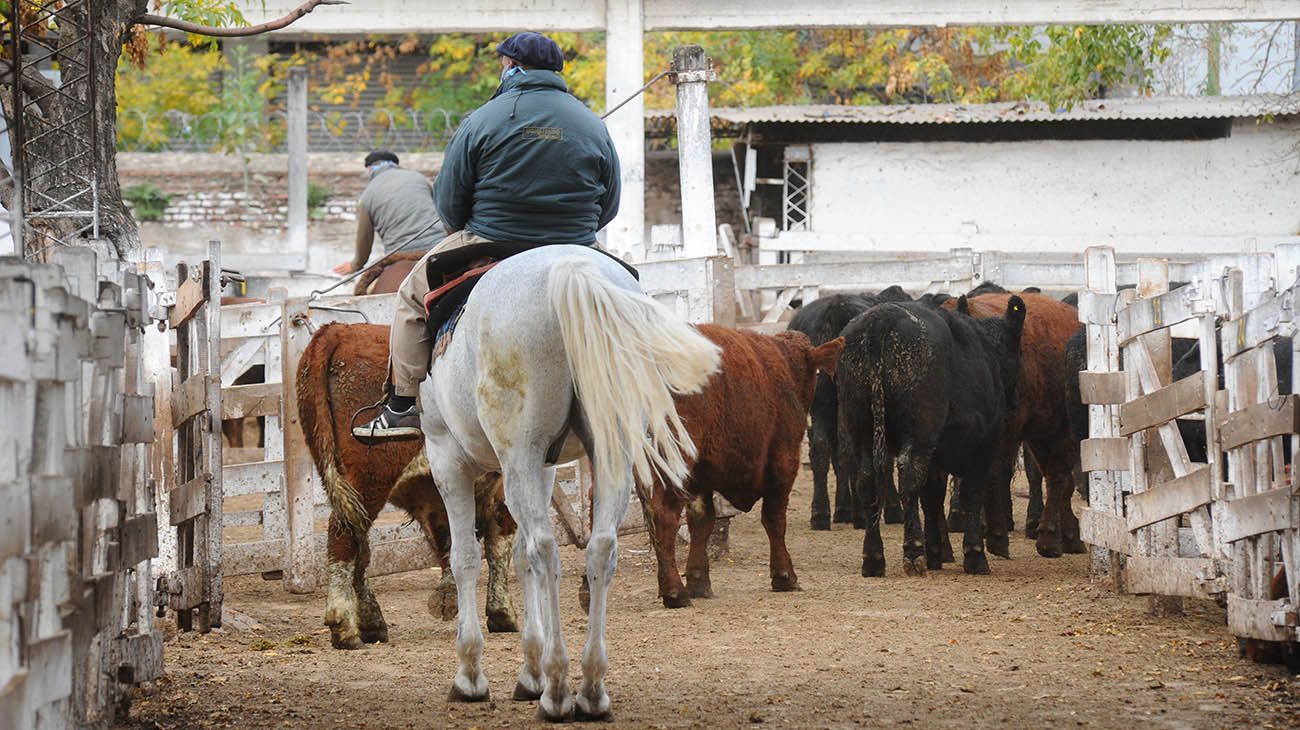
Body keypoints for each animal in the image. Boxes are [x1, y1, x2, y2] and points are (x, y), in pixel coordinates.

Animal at [296, 320, 517, 644]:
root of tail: (339, 329)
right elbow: (500, 541)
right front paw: (502, 612)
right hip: (369, 476)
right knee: (343, 535)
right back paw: (344, 624)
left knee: (358, 544)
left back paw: (371, 620)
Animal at [421, 242, 722, 717]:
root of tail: (569, 268)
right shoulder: (543, 469)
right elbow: (518, 558)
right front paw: (528, 672)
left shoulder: (448, 458)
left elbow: (466, 557)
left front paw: (470, 676)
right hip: (604, 453)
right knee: (600, 548)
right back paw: (591, 688)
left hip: (518, 458)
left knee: (546, 552)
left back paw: (558, 688)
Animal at [639, 327, 842, 605]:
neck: (785, 363)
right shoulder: (783, 461)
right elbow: (774, 518)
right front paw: (784, 576)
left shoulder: (701, 474)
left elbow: (702, 520)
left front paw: (698, 580)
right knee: (665, 514)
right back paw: (674, 591)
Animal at [837, 293, 1029, 574]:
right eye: (1019, 351)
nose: (1014, 399)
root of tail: (882, 318)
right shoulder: (984, 447)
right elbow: (971, 493)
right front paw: (974, 555)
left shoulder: (937, 455)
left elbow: (932, 497)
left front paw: (936, 552)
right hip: (920, 432)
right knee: (908, 477)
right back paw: (913, 550)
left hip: (860, 428)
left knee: (868, 479)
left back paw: (873, 557)